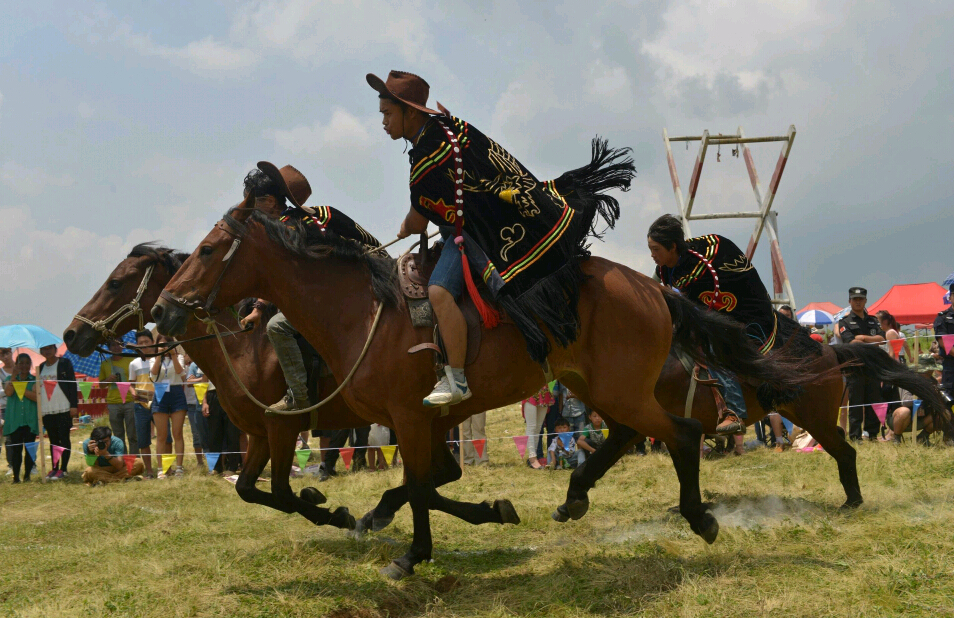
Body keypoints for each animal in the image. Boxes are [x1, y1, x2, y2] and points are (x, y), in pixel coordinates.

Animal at [152, 200, 820, 580]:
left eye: (207, 251)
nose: (161, 310)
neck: (363, 310)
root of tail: (654, 287)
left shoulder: (405, 418)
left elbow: (420, 488)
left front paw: (409, 554)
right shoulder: (413, 423)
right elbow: (423, 484)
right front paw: (465, 516)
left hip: (622, 390)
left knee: (680, 433)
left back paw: (699, 519)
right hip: (602, 388)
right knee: (631, 435)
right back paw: (575, 498)